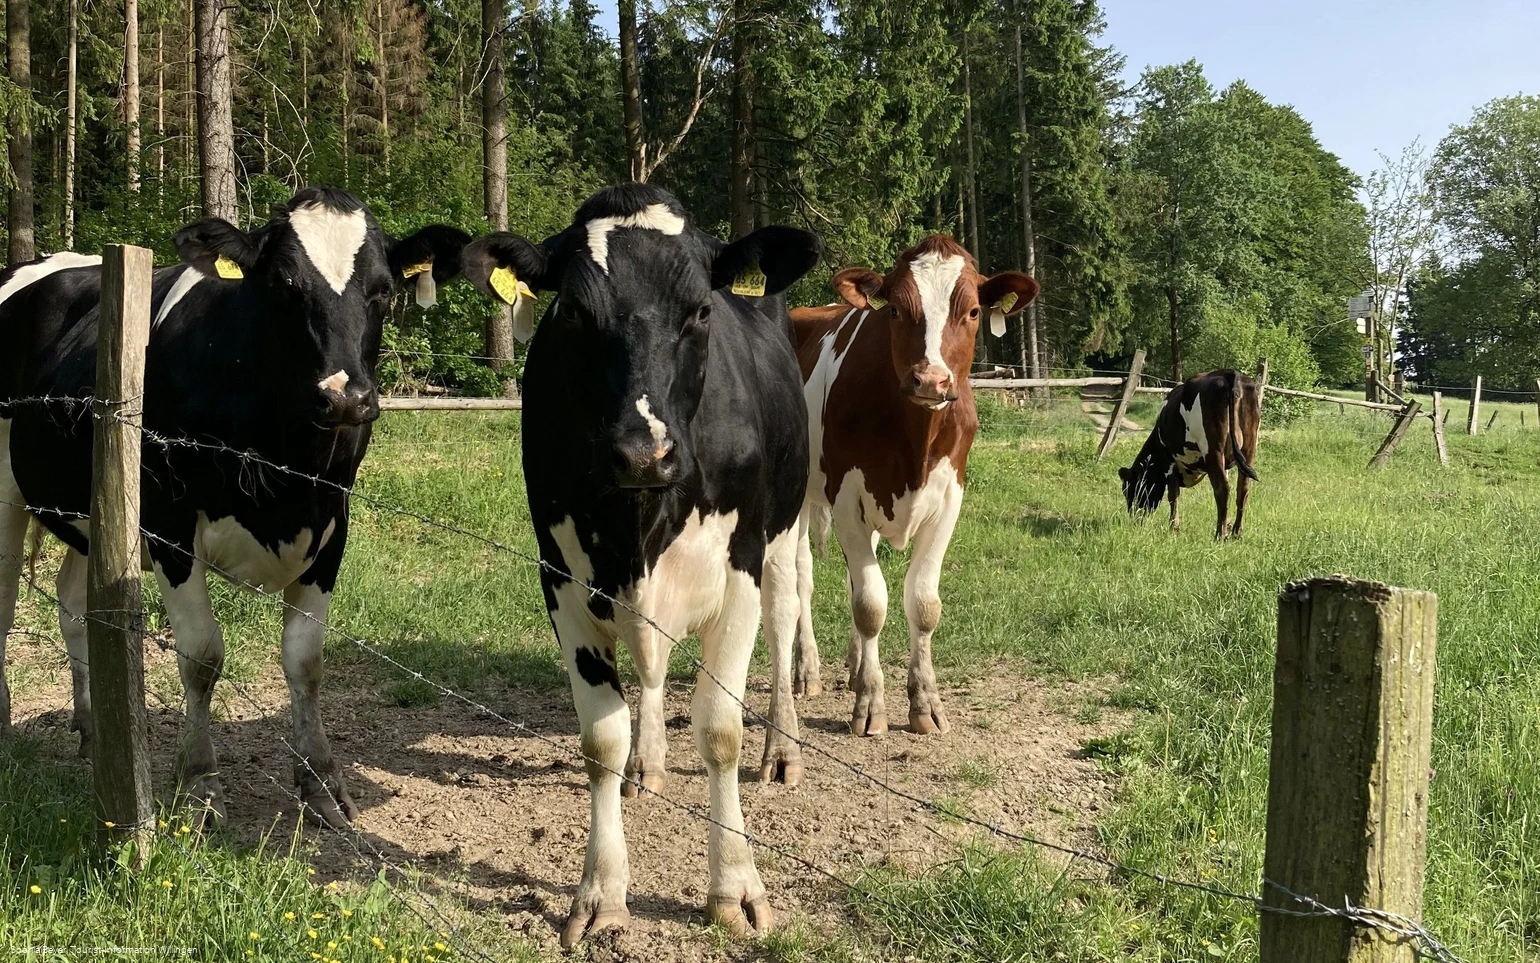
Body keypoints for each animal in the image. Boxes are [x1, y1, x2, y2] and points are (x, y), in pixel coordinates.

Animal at [0, 187, 474, 827]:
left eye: (382, 289)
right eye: (283, 285)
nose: (345, 397)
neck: (284, 473)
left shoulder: (334, 522)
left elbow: (305, 659)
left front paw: (321, 783)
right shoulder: (170, 526)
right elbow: (201, 656)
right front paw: (200, 786)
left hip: (94, 508)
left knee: (76, 605)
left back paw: (94, 729)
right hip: (7, 491)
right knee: (6, 605)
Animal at [457, 184, 820, 946]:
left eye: (702, 309)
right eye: (572, 310)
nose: (641, 451)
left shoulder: (739, 568)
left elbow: (719, 730)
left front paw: (734, 888)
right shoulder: (560, 577)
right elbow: (601, 737)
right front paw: (601, 892)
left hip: (784, 531)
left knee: (783, 623)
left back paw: (782, 748)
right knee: (650, 670)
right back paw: (646, 764)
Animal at [766, 236, 1038, 744]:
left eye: (973, 311)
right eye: (894, 309)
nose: (931, 379)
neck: (916, 441)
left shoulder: (949, 499)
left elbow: (923, 603)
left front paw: (924, 703)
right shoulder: (847, 498)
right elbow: (870, 604)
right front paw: (871, 705)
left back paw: (854, 666)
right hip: (801, 491)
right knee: (802, 575)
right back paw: (807, 670)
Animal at [1119, 369, 1261, 539]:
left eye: (1129, 489)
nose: (1133, 517)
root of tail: (1231, 373)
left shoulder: (1169, 461)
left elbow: (1173, 495)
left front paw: (1174, 527)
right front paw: (1227, 523)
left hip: (1212, 449)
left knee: (1222, 488)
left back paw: (1220, 535)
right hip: (1249, 447)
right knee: (1243, 488)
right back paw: (1236, 533)